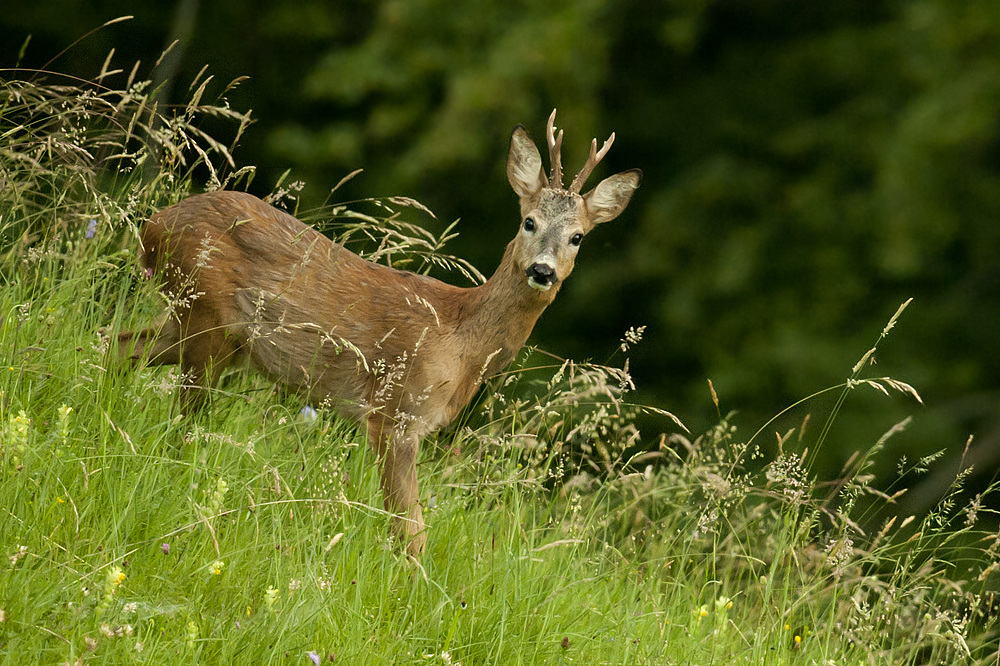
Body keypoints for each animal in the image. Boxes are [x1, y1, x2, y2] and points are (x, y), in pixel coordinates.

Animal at [119, 110, 640, 556]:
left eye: (577, 237)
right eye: (529, 221)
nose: (543, 270)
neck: (461, 340)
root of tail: (152, 225)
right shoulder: (397, 412)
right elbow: (411, 532)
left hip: (205, 330)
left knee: (119, 344)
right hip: (208, 321)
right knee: (177, 418)